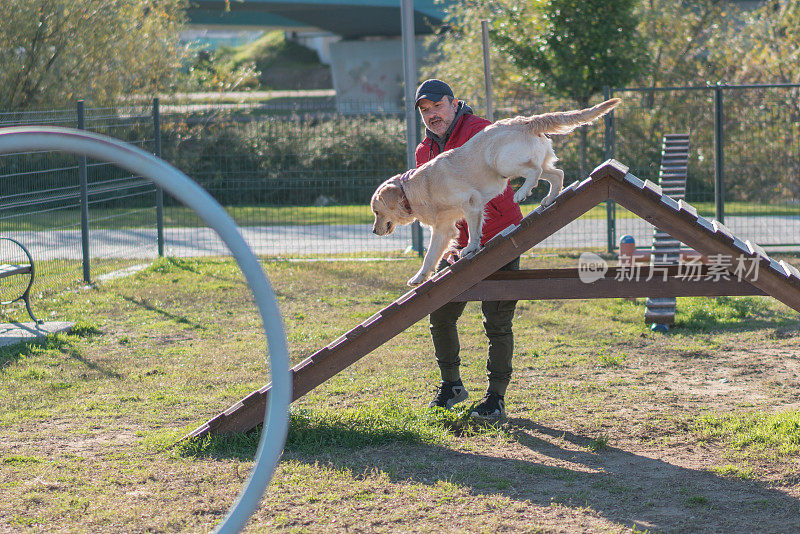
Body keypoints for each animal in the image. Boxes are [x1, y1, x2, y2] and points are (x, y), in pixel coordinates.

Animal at [372, 98, 620, 286]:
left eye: (376, 212)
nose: (374, 231)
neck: (415, 190)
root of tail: (524, 120)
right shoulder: (443, 228)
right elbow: (430, 255)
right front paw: (419, 277)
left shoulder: (470, 202)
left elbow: (473, 231)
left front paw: (470, 248)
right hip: (527, 163)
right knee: (556, 173)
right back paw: (548, 199)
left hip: (500, 161)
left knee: (535, 170)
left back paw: (522, 194)